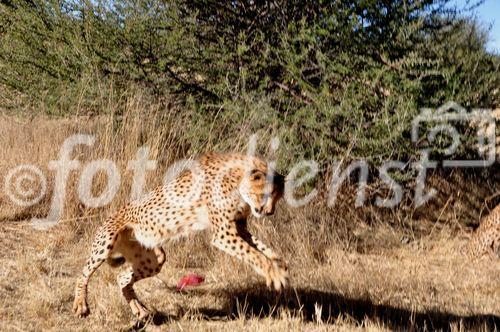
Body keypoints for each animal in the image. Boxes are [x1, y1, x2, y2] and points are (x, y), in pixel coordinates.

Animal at [72, 152, 288, 320]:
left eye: (277, 198)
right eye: (266, 195)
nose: (269, 212)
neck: (237, 178)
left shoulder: (238, 228)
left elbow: (261, 248)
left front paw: (280, 266)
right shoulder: (224, 233)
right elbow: (253, 254)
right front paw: (275, 274)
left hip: (154, 259)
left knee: (122, 277)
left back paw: (139, 310)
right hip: (106, 242)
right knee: (84, 273)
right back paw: (81, 304)